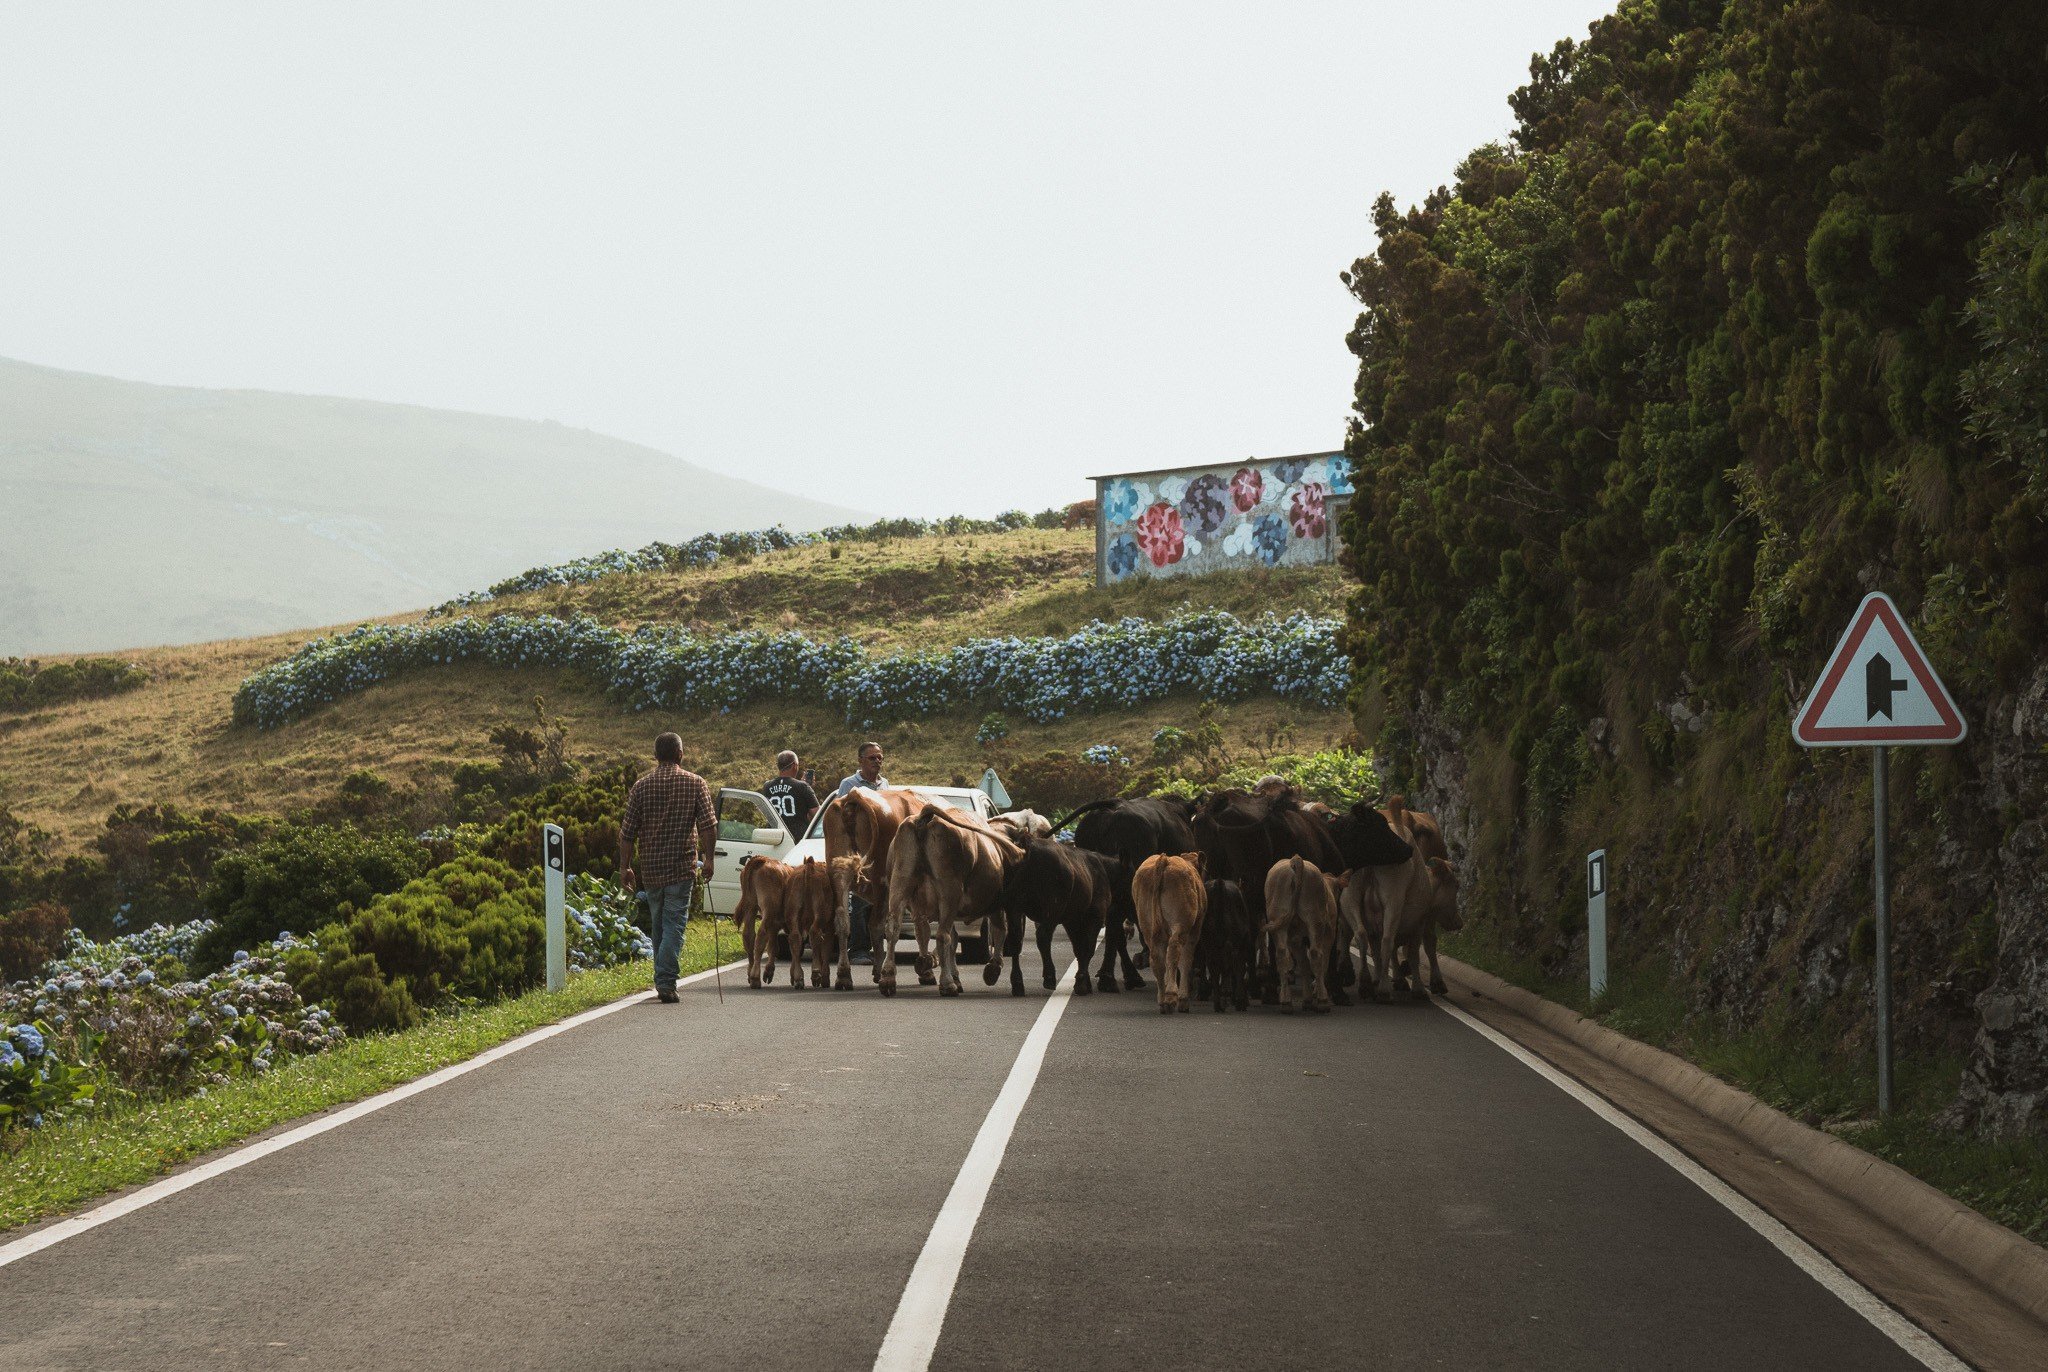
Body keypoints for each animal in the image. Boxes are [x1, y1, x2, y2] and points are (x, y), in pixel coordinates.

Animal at [880, 806, 1015, 999]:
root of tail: (924, 818)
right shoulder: (996, 902)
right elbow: (999, 930)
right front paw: (992, 969)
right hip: (949, 891)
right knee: (942, 936)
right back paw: (947, 984)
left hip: (900, 882)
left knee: (895, 929)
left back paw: (889, 979)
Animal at [995, 839, 1114, 999]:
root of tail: (1030, 845)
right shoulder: (1095, 916)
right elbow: (1087, 948)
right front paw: (1082, 983)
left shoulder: (1072, 921)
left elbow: (1079, 949)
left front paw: (1085, 982)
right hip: (1052, 908)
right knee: (1043, 936)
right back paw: (1049, 977)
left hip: (1014, 906)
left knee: (1016, 941)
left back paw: (1018, 984)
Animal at [1130, 855, 1204, 1015]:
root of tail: (1164, 860)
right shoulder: (1194, 932)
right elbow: (1186, 961)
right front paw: (1183, 999)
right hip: (1180, 926)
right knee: (1174, 953)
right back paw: (1172, 998)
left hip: (1148, 928)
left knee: (1157, 959)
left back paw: (1163, 1000)